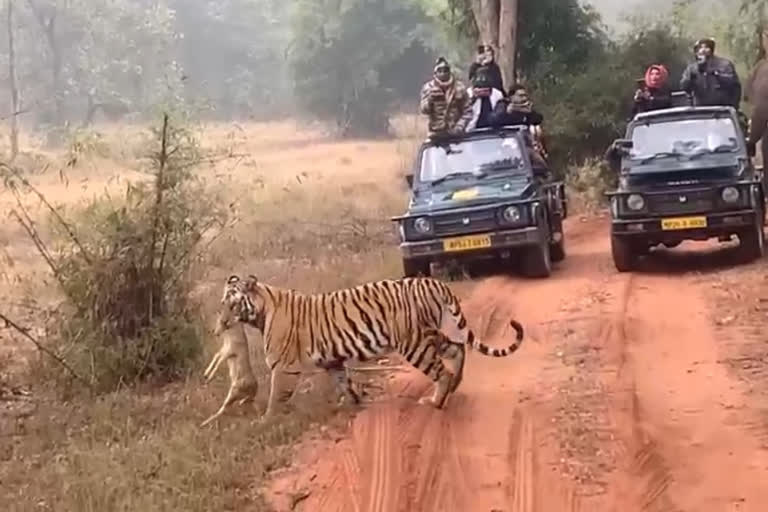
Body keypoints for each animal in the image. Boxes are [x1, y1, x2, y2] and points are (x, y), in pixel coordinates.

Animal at [210, 274, 520, 422]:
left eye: (232, 304)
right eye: (221, 303)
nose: (221, 323)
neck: (261, 311)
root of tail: (433, 282)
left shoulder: (283, 368)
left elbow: (275, 398)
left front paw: (265, 421)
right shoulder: (333, 361)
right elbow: (344, 384)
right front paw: (353, 404)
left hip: (413, 343)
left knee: (441, 370)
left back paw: (436, 401)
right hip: (431, 334)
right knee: (457, 349)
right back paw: (455, 386)